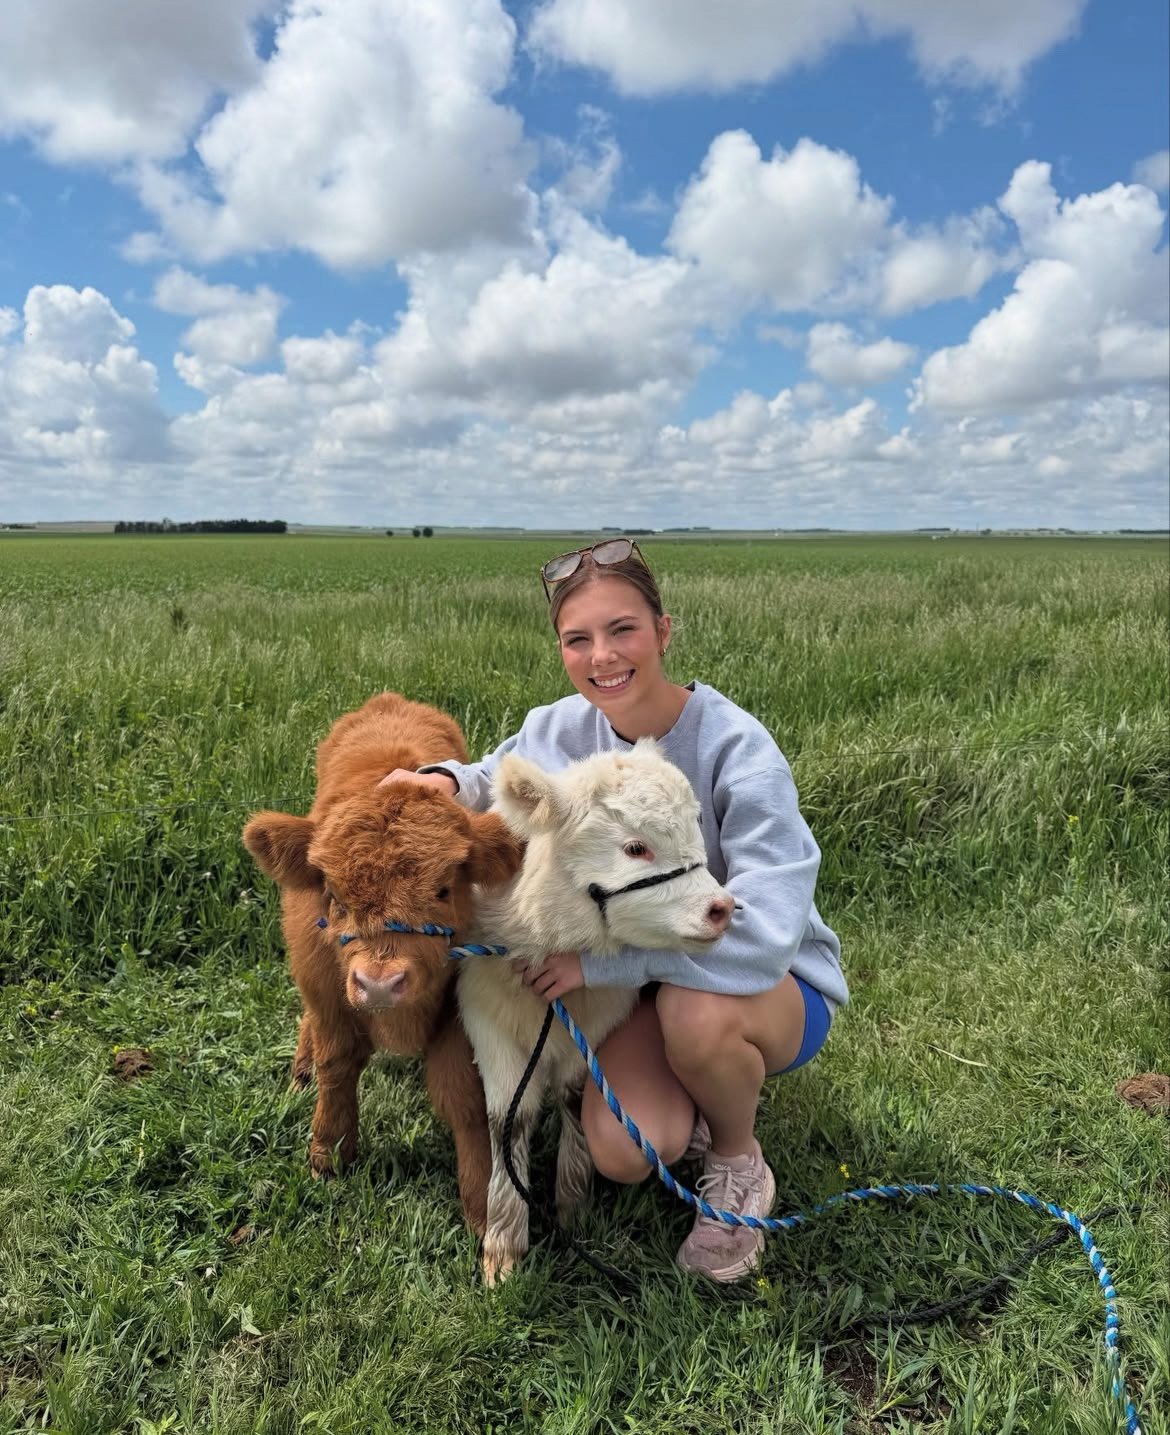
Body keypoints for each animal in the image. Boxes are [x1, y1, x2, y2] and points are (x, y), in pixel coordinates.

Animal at [242, 692, 523, 1237]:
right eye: (333, 894)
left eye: (443, 890)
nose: (378, 983)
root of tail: (388, 700)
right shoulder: (327, 993)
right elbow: (336, 1066)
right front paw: (328, 1155)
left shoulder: (457, 1013)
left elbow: (464, 1097)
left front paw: (482, 1203)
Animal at [457, 738, 735, 1284]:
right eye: (635, 848)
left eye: (696, 830)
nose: (722, 909)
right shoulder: (487, 1022)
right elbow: (510, 1119)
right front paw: (504, 1247)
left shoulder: (596, 1027)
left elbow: (573, 1097)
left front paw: (572, 1207)